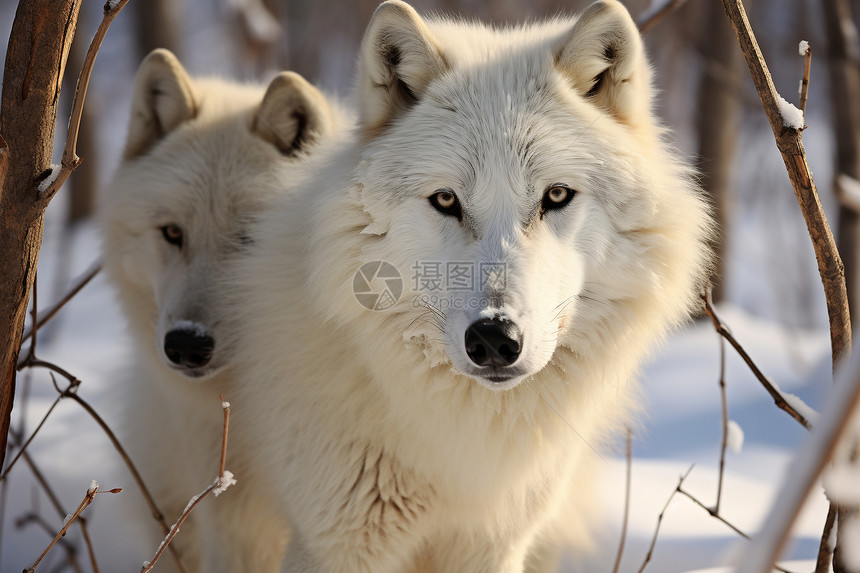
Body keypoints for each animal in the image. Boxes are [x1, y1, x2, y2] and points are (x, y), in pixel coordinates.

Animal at [230, 2, 712, 568]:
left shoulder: (493, 544)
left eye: (556, 195)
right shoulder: (332, 542)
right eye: (445, 200)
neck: (460, 444)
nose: (495, 340)